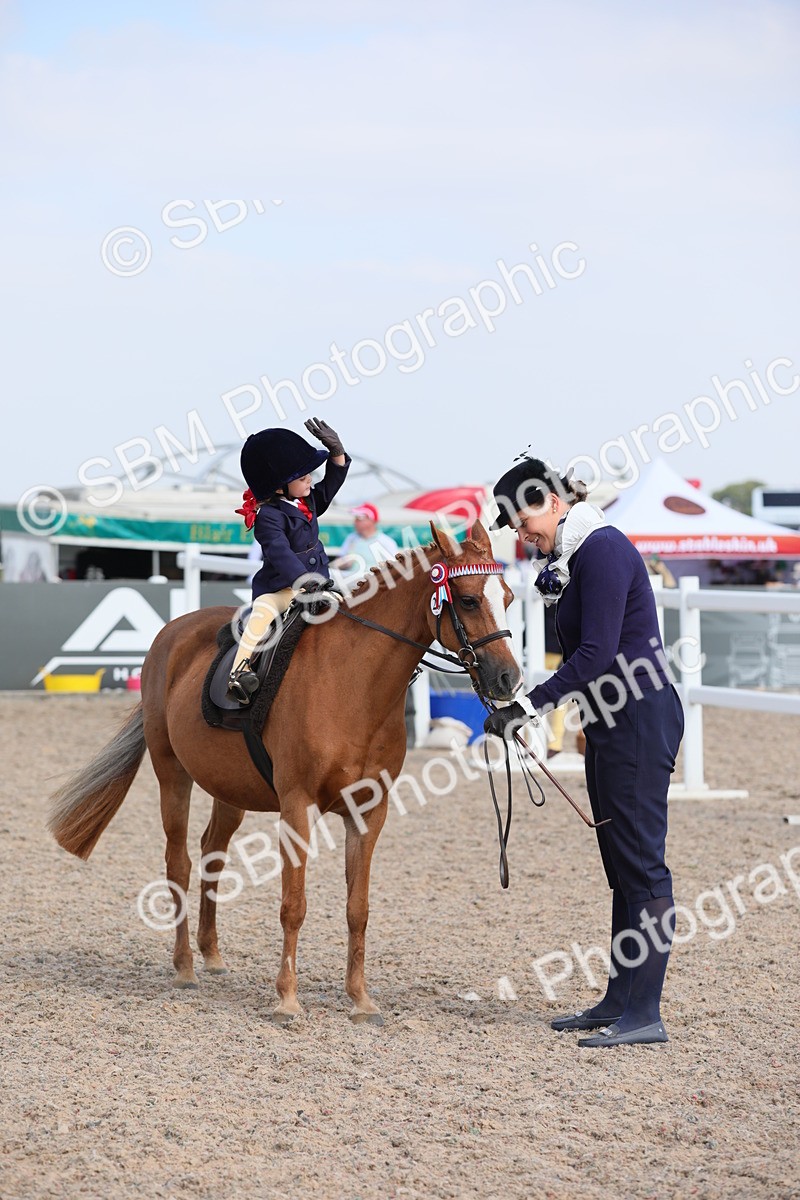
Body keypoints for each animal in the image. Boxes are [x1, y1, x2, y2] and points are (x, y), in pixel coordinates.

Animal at [48, 521, 522, 1024]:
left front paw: (360, 999)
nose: (509, 681)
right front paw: (287, 999)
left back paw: (211, 955)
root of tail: (171, 634)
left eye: (509, 597)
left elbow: (358, 908)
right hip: (172, 775)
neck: (353, 683)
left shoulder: (369, 812)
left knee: (212, 854)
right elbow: (294, 905)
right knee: (179, 862)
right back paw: (185, 967)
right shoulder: (297, 806)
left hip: (229, 791)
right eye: (468, 600)